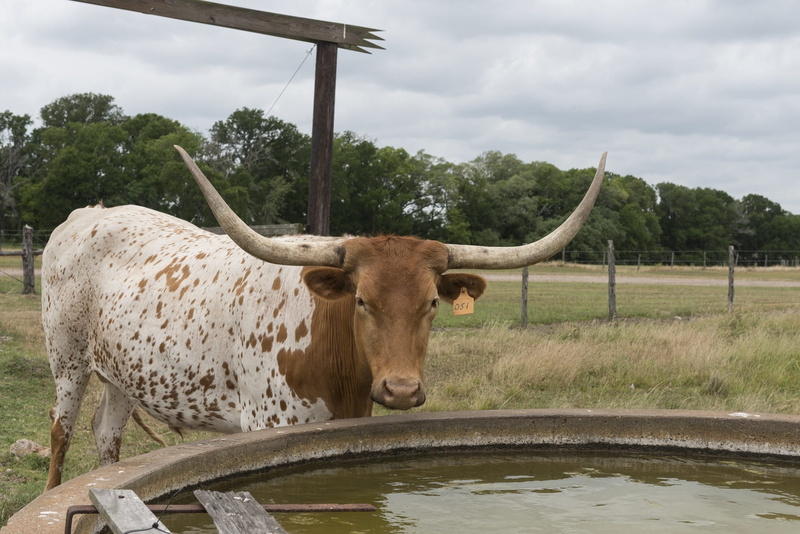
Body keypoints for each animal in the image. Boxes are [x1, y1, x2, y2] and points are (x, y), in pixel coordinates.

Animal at [42, 146, 606, 490]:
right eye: (361, 300)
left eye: (431, 303)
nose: (402, 389)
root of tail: (90, 213)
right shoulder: (266, 424)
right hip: (67, 360)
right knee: (61, 434)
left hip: (123, 374)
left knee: (106, 435)